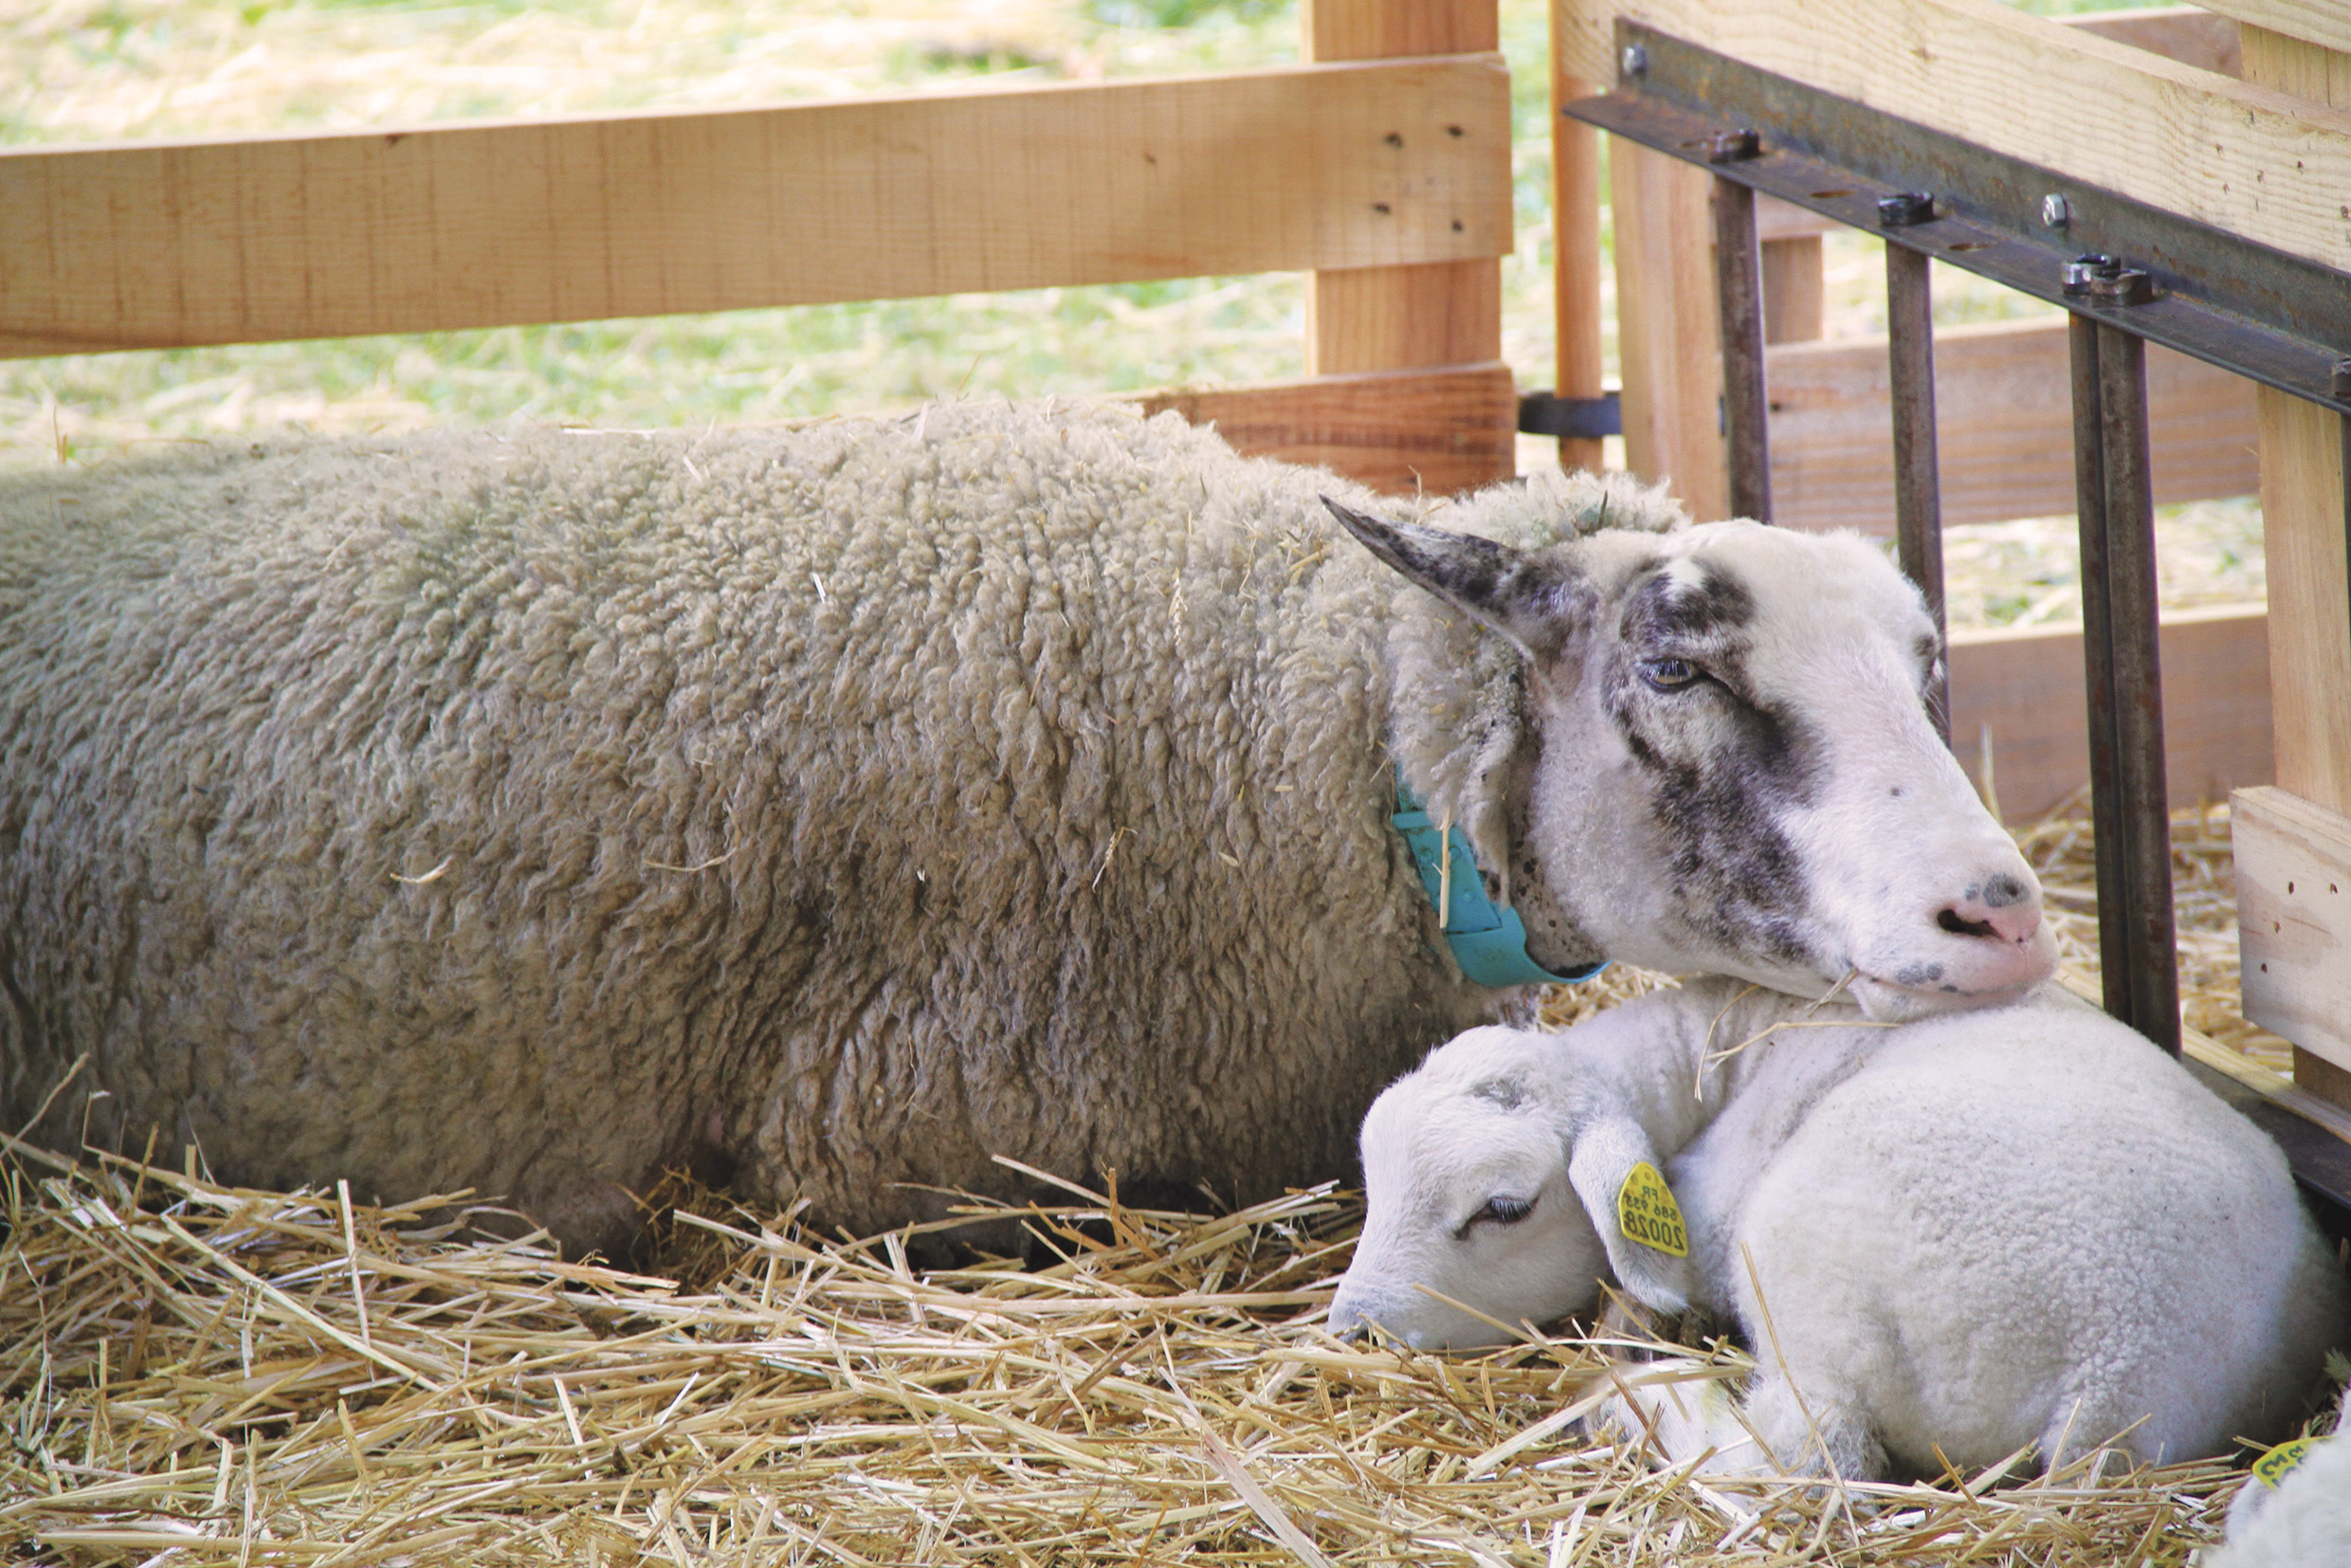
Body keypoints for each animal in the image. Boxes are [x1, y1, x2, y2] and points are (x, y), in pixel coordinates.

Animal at [1335, 982, 2342, 1486]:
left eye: (1503, 1209)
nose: (1353, 1332)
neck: (1720, 1053)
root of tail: (2115, 1375)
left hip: (1814, 1272)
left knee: (1812, 1454)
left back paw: (1641, 1402)